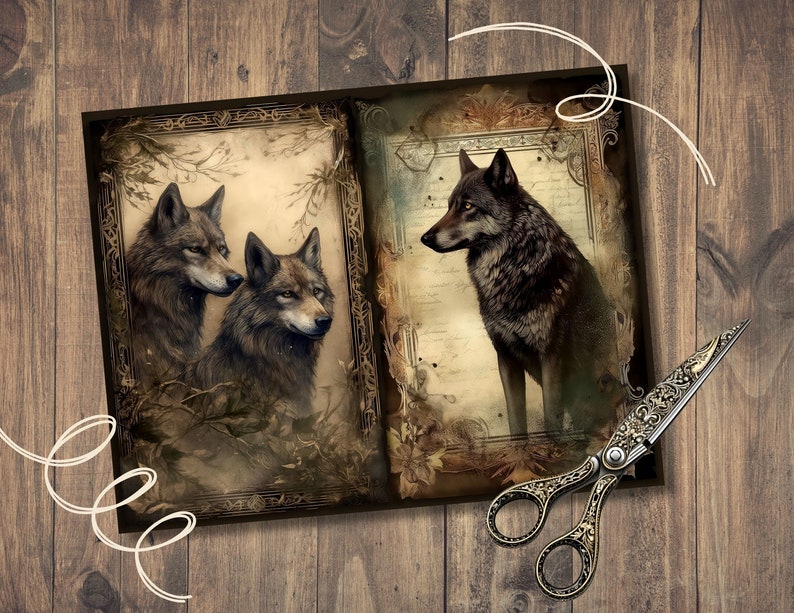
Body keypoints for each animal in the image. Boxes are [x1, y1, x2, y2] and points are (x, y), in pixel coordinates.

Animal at [420, 148, 622, 437]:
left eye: (467, 206)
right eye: (449, 205)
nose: (425, 238)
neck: (515, 269)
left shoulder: (551, 358)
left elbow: (551, 421)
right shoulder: (506, 357)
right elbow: (516, 421)